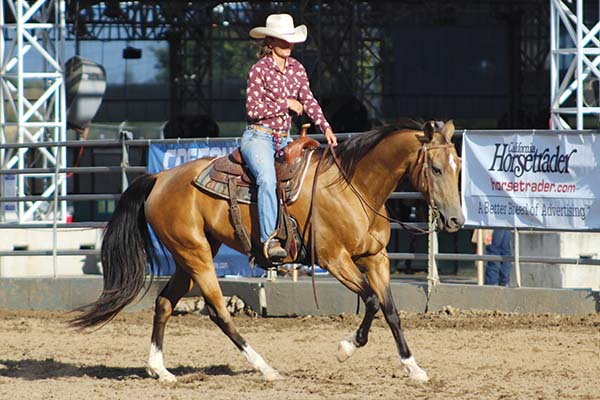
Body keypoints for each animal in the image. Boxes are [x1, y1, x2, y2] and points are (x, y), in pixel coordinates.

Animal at [70, 119, 464, 384]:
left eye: (458, 166)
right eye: (435, 167)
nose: (456, 220)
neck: (353, 187)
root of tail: (160, 178)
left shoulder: (376, 258)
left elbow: (390, 310)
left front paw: (413, 367)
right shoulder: (335, 260)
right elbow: (369, 301)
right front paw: (346, 347)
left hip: (190, 255)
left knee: (165, 303)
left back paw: (160, 369)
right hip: (196, 255)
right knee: (218, 311)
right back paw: (265, 368)